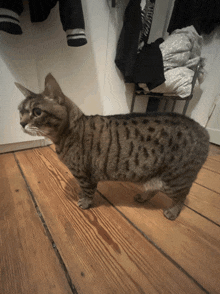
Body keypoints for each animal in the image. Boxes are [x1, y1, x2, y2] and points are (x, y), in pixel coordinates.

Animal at [15, 74, 210, 219]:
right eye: (20, 111)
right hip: (156, 176)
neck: (68, 133)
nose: (21, 123)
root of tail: (203, 129)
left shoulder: (85, 175)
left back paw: (173, 211)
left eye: (37, 112)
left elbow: (87, 191)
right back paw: (143, 196)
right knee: (154, 188)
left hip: (176, 179)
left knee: (183, 196)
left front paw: (85, 202)